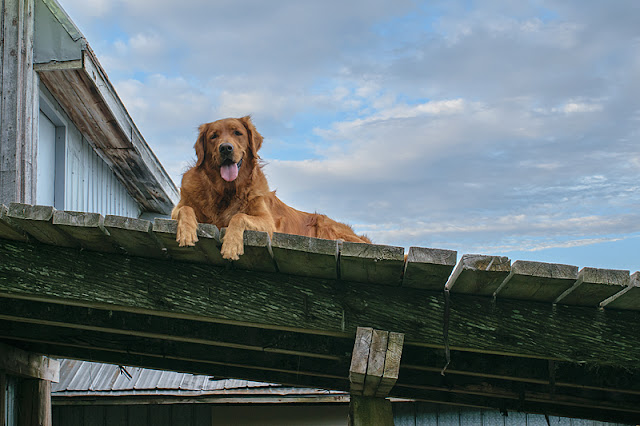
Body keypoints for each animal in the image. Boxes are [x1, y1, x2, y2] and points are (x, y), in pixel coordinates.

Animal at [171, 116, 370, 260]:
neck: (226, 191)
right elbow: (186, 209)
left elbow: (239, 216)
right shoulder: (178, 209)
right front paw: (187, 232)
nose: (226, 148)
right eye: (213, 136)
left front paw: (231, 245)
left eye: (237, 133)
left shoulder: (267, 221)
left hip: (324, 225)